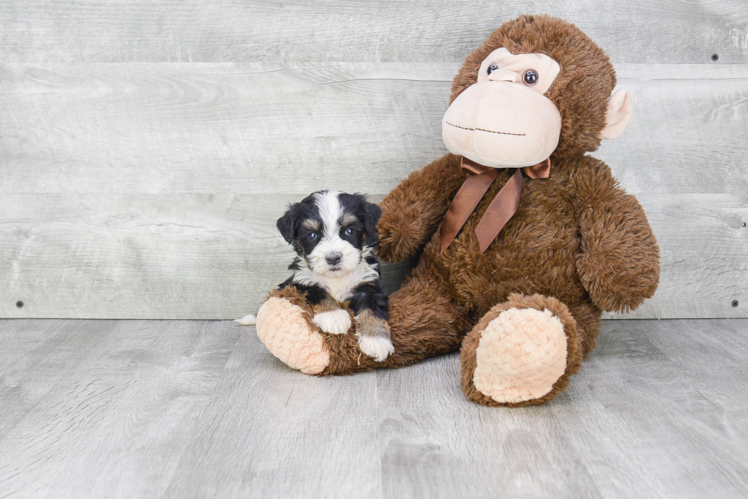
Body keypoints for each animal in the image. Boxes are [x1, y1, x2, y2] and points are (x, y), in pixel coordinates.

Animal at [274, 189, 392, 362]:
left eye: (349, 231)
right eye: (312, 235)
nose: (333, 258)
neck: (337, 278)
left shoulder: (368, 284)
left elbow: (372, 309)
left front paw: (376, 340)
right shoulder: (299, 282)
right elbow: (318, 292)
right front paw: (334, 316)